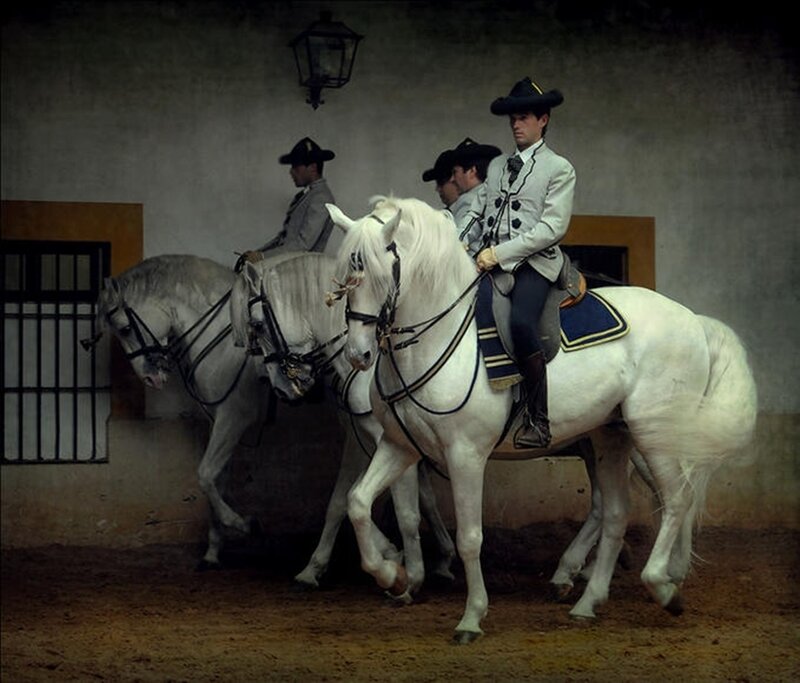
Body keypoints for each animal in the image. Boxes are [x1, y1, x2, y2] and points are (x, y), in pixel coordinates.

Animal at [229, 253, 457, 591]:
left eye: (257, 324)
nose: (282, 389)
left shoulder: (392, 440)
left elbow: (403, 507)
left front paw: (401, 569)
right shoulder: (361, 438)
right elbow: (344, 499)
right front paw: (316, 567)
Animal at [327, 196, 757, 643]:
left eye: (379, 273)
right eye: (344, 278)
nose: (358, 354)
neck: (437, 338)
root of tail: (693, 320)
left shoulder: (466, 455)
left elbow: (469, 538)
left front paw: (471, 617)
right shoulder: (399, 445)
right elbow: (357, 503)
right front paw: (391, 576)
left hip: (655, 436)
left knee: (676, 498)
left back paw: (664, 584)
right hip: (611, 438)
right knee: (616, 513)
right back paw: (589, 602)